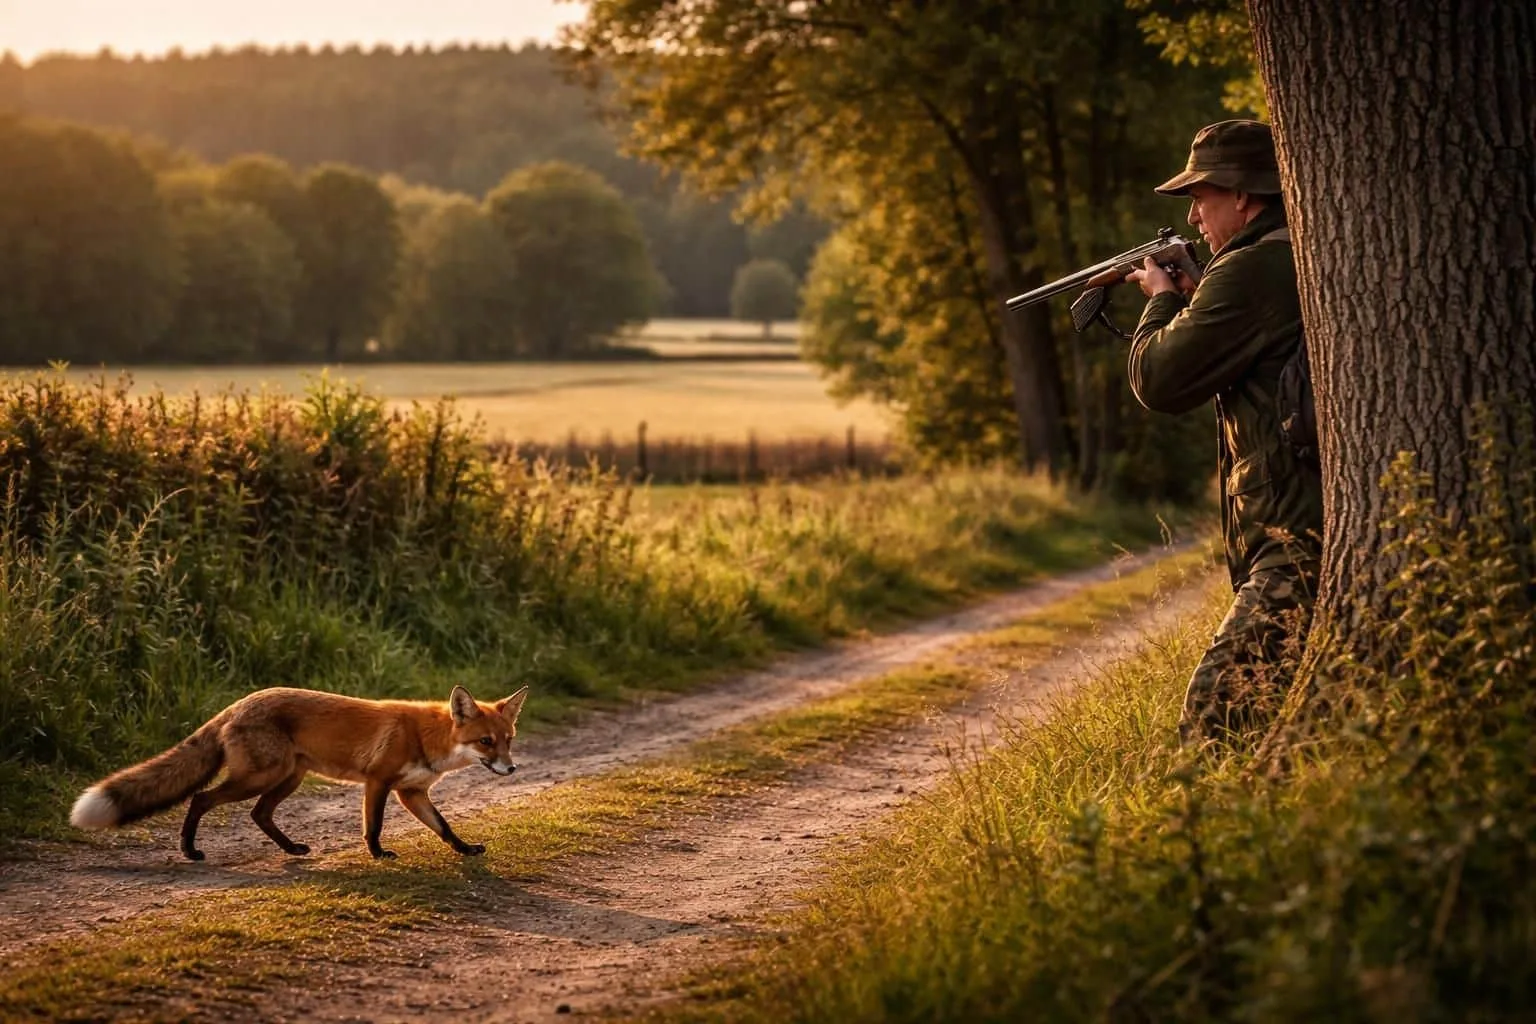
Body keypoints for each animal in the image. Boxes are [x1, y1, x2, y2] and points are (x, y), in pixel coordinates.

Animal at [70, 684, 530, 862]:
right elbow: (374, 826)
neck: (428, 737)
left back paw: (291, 849)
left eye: (508, 739)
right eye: (486, 742)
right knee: (201, 798)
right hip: (259, 777)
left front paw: (465, 850)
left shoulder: (412, 793)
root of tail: (237, 703)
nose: (511, 768)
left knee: (259, 814)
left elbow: (444, 827)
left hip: (286, 779)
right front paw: (377, 855)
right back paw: (189, 850)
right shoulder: (378, 781)